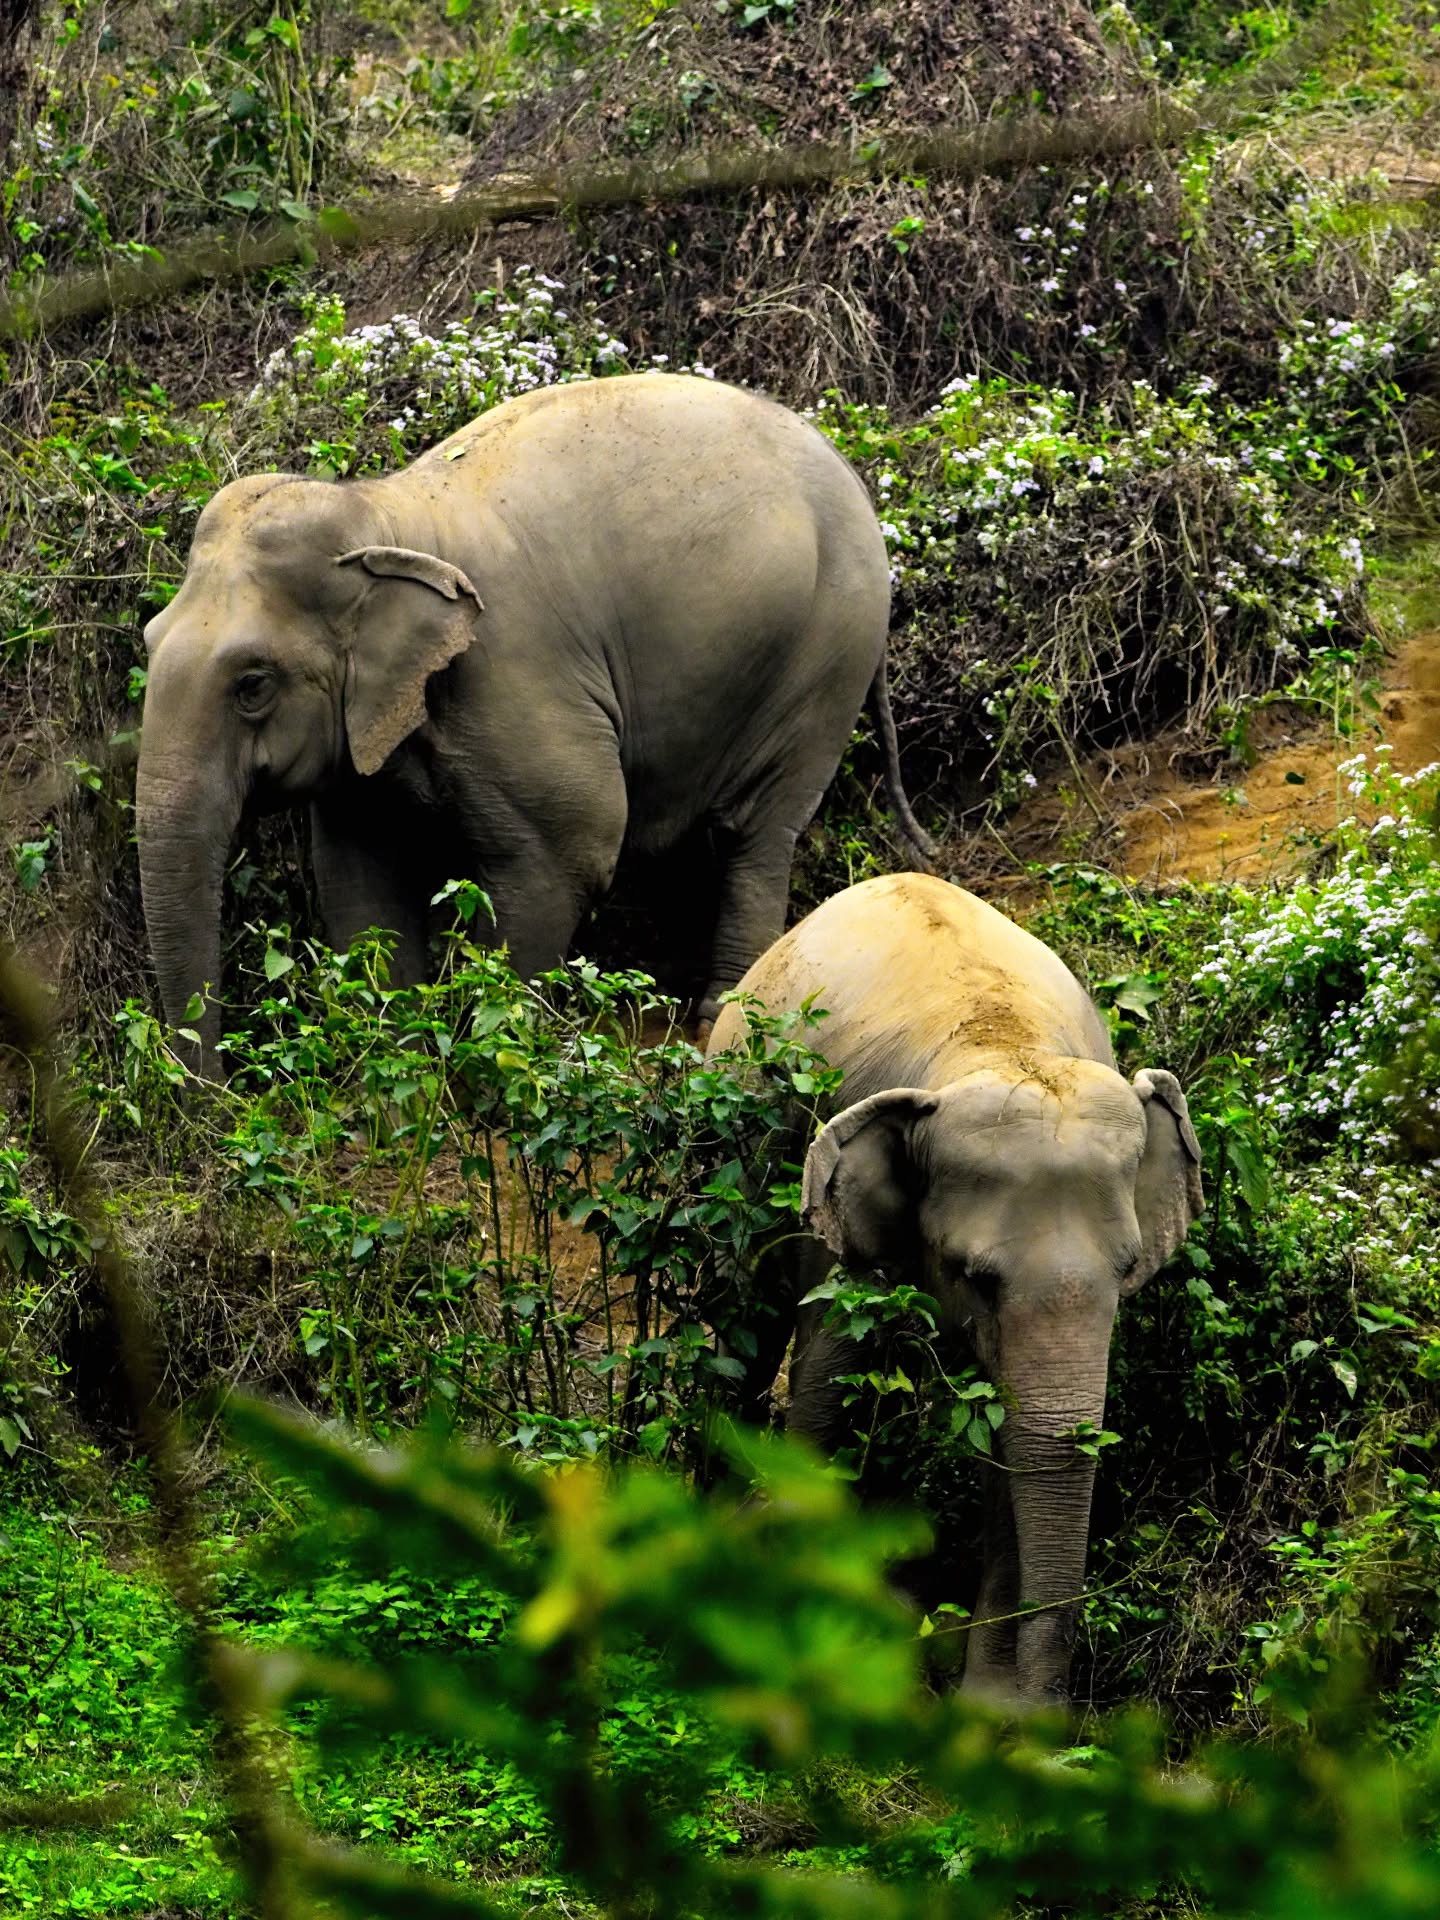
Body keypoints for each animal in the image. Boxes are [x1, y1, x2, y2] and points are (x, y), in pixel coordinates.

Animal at [135, 372, 933, 1076]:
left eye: (252, 685)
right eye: (147, 637)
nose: (214, 1090)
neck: (385, 515)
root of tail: (851, 470)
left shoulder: (512, 673)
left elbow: (571, 849)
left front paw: (492, 1054)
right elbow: (358, 874)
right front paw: (395, 1051)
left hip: (827, 652)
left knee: (752, 832)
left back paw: (721, 1017)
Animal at [706, 872, 1203, 1706]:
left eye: (1129, 1270)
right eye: (978, 1277)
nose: (1043, 1712)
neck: (1003, 1044)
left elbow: (1009, 1439)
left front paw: (990, 1705)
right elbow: (827, 1378)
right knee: (745, 1317)